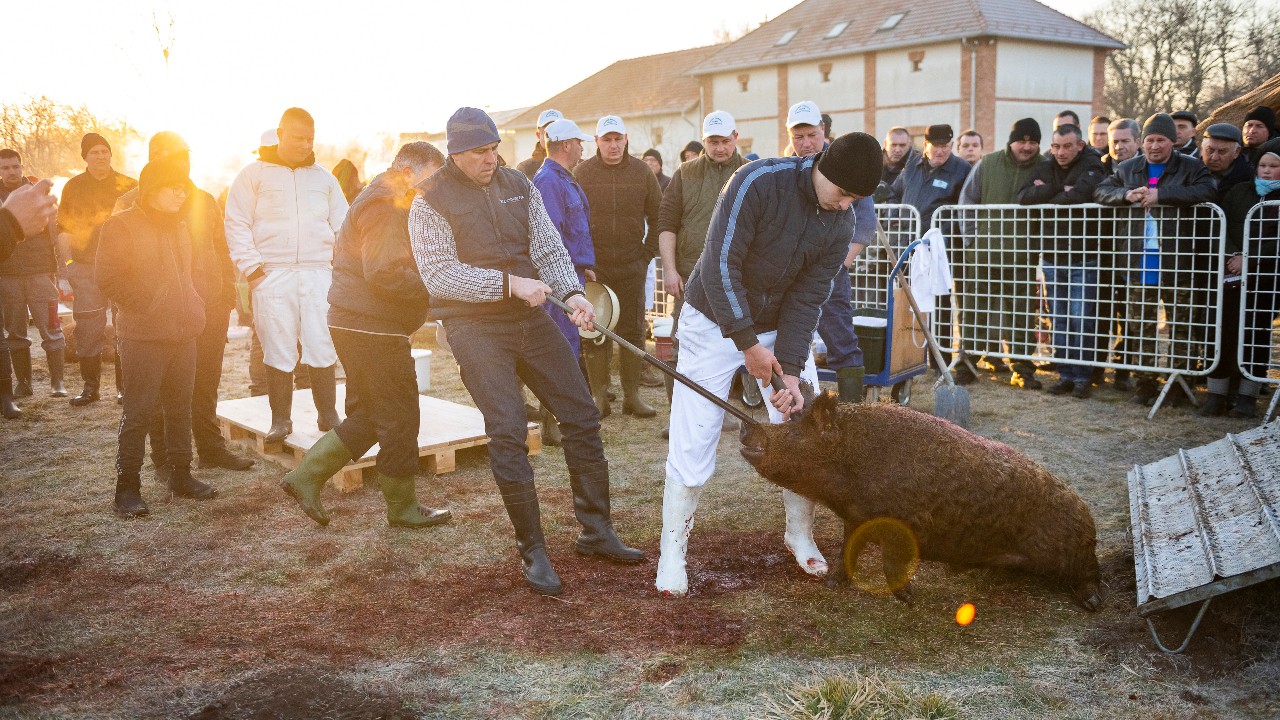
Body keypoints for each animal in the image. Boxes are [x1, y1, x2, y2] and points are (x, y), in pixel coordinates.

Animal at [742, 389, 1100, 607]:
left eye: (794, 432)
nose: (747, 430)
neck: (853, 464)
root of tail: (1088, 519)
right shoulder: (856, 518)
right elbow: (846, 552)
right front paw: (831, 584)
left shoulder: (901, 525)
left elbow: (890, 564)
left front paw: (909, 600)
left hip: (1067, 553)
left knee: (1091, 573)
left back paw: (1092, 604)